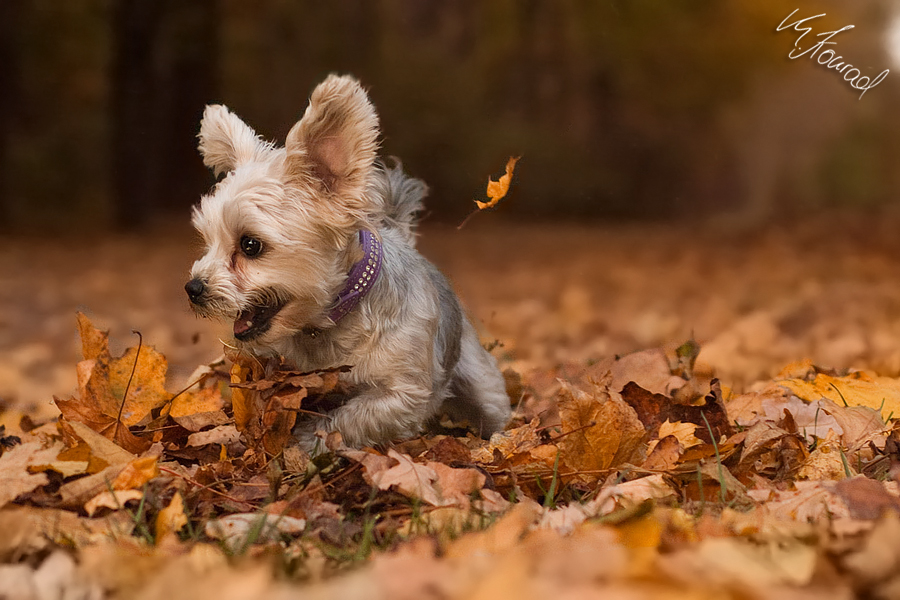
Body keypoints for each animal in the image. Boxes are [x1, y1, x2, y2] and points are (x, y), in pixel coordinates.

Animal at [186, 76, 510, 450]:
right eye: (207, 240)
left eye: (250, 245)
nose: (192, 288)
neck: (330, 323)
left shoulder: (403, 394)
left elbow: (345, 419)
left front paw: (304, 441)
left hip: (482, 385)